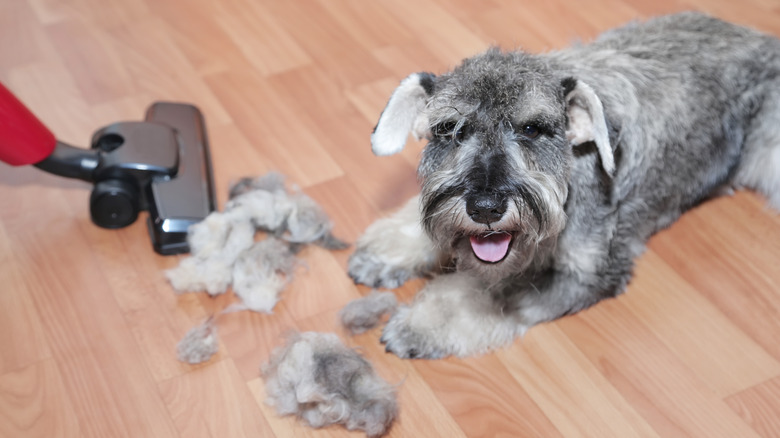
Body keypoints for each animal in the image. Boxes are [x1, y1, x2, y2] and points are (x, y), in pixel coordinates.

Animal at [346, 12, 780, 358]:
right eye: (449, 129)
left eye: (532, 129)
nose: (485, 208)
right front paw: (386, 253)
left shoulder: (586, 273)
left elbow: (490, 290)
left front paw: (422, 324)